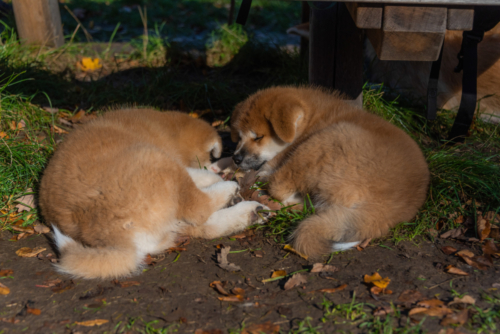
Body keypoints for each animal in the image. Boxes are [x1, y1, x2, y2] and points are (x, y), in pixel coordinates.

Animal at [39, 109, 268, 280]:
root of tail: (116, 239)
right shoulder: (173, 161)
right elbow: (198, 175)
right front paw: (219, 173)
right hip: (155, 160)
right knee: (199, 209)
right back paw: (230, 190)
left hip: (168, 223)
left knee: (207, 226)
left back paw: (252, 211)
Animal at [230, 87, 430, 258]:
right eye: (239, 136)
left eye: (258, 137)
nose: (236, 158)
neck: (310, 122)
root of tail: (386, 210)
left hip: (325, 139)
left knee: (279, 189)